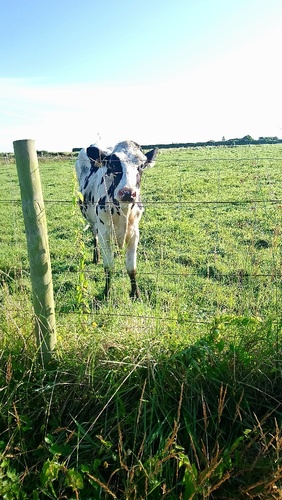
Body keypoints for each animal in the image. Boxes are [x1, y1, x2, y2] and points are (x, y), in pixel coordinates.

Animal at [75, 139, 159, 298]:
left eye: (141, 166)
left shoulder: (135, 233)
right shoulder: (105, 233)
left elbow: (132, 267)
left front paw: (135, 294)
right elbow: (109, 266)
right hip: (91, 219)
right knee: (94, 235)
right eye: (113, 164)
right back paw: (96, 257)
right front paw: (107, 293)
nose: (127, 193)